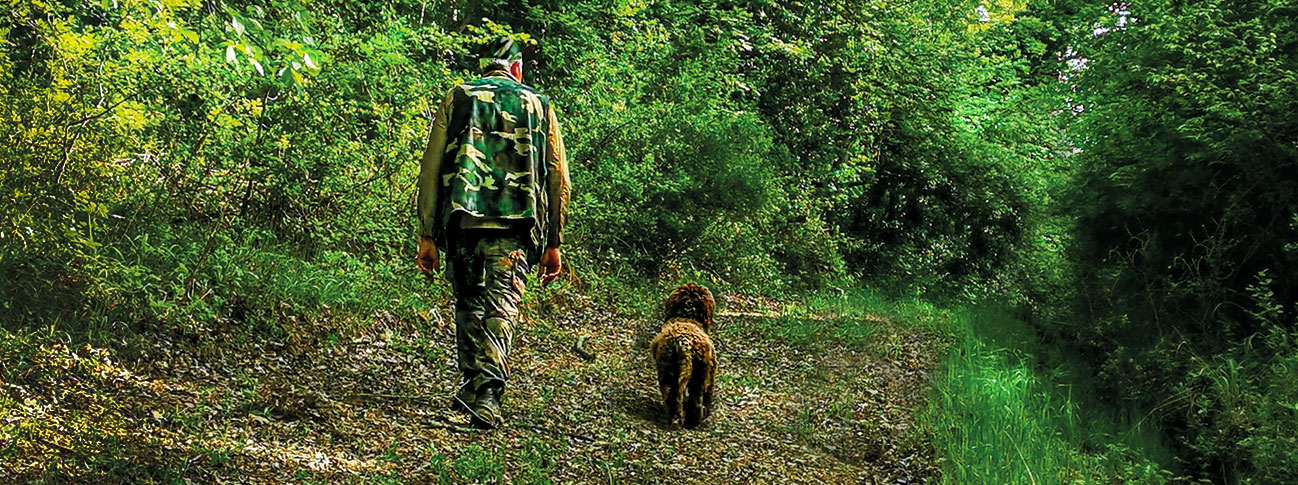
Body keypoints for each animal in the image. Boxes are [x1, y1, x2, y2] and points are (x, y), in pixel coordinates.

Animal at [654, 283, 716, 427]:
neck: (688, 316)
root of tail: (684, 342)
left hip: (670, 371)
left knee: (674, 396)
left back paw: (677, 418)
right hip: (698, 374)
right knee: (695, 399)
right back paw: (692, 421)